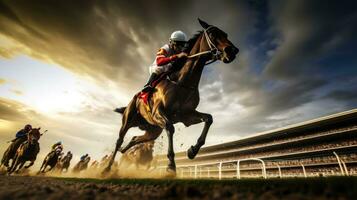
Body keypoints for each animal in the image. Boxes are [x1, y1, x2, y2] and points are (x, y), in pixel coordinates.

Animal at [104, 18, 238, 175]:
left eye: (226, 34)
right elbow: (170, 128)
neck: (182, 81)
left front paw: (192, 151)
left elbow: (208, 118)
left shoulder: (186, 115)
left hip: (153, 130)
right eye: (212, 34)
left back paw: (124, 150)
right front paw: (171, 166)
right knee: (119, 140)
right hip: (128, 121)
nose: (232, 51)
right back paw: (107, 168)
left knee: (135, 139)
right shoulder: (158, 113)